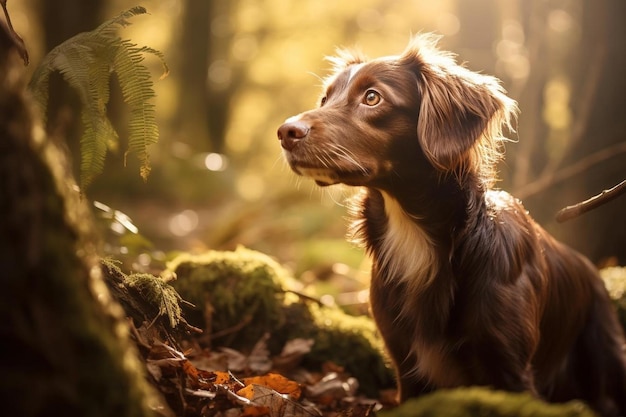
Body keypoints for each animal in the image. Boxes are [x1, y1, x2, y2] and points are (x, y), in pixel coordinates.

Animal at [276, 35, 624, 412]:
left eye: (372, 97)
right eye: (326, 98)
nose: (285, 132)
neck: (419, 237)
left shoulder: (510, 368)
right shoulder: (405, 365)